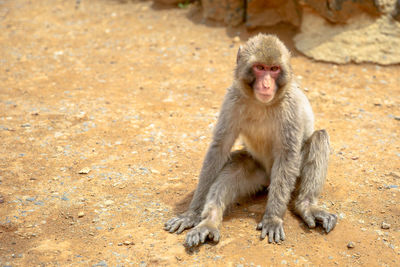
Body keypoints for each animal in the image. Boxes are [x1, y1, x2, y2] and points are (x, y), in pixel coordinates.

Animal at [164, 34, 336, 249]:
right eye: (260, 67)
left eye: (274, 69)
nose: (266, 85)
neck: (262, 103)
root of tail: (268, 180)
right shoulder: (232, 99)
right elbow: (219, 148)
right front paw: (192, 214)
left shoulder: (291, 107)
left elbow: (288, 155)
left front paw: (272, 218)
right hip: (258, 176)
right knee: (235, 167)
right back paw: (209, 222)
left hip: (286, 180)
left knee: (319, 138)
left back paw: (306, 206)